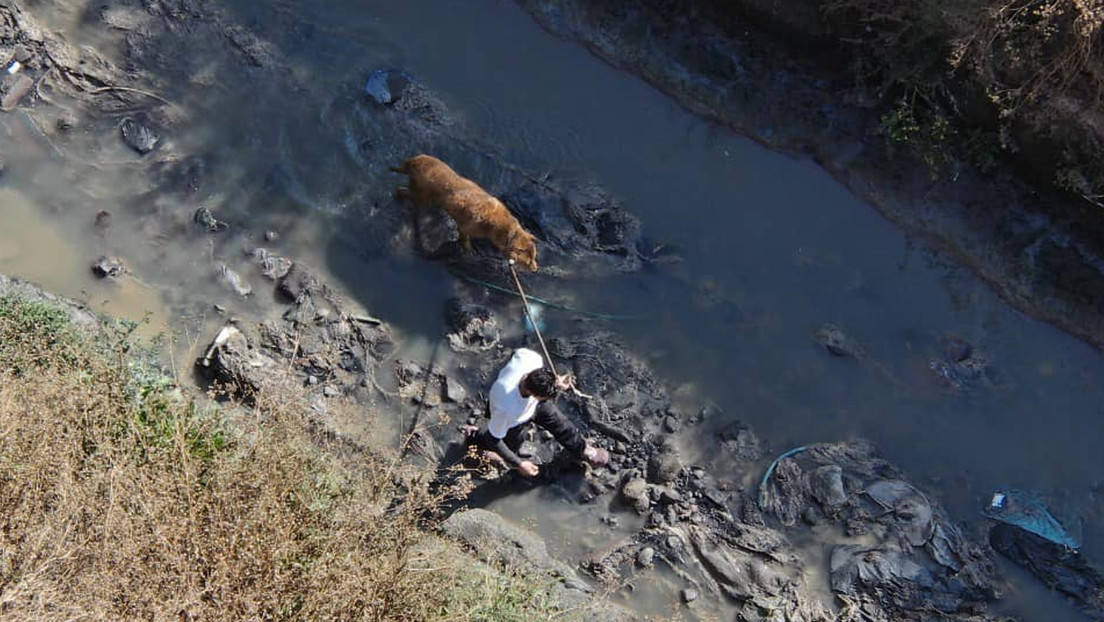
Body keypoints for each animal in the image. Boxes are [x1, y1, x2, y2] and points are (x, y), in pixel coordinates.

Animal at [393, 154, 538, 271]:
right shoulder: (467, 227)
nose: (535, 269)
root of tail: (413, 161)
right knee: (403, 191)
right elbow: (464, 237)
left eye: (534, 256)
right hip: (421, 194)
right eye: (528, 262)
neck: (495, 226)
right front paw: (469, 250)